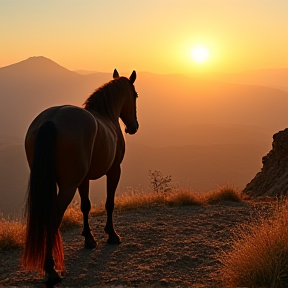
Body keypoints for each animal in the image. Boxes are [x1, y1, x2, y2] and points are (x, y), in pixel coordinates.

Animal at [22, 69, 139, 286]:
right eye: (136, 95)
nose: (133, 127)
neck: (106, 116)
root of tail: (51, 120)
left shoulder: (83, 180)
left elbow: (86, 206)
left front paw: (89, 238)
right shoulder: (114, 171)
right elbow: (109, 203)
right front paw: (112, 235)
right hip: (67, 187)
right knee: (53, 218)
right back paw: (50, 269)